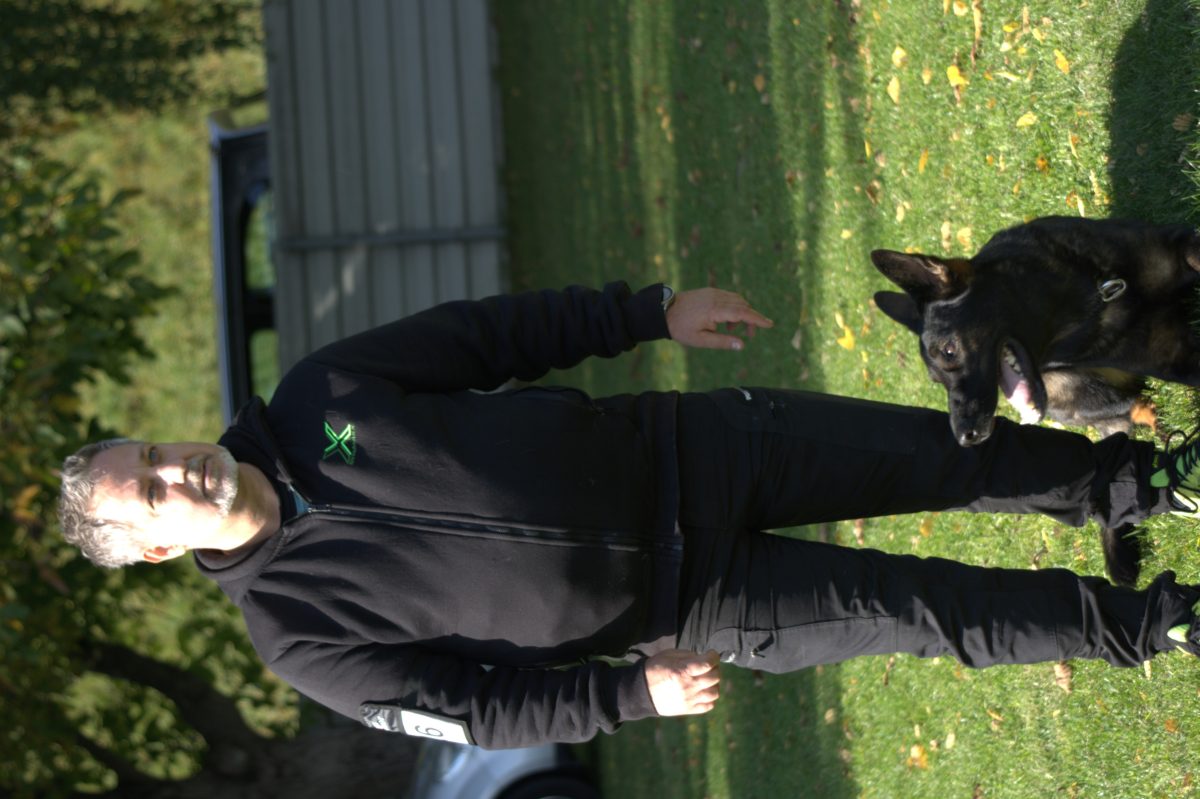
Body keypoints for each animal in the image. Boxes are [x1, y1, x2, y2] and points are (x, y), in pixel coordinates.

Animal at [871, 216, 1200, 585]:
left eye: (949, 351)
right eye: (936, 380)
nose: (964, 437)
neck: (1088, 299)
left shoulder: (1183, 248)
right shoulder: (1169, 358)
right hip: (1077, 391)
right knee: (1135, 405)